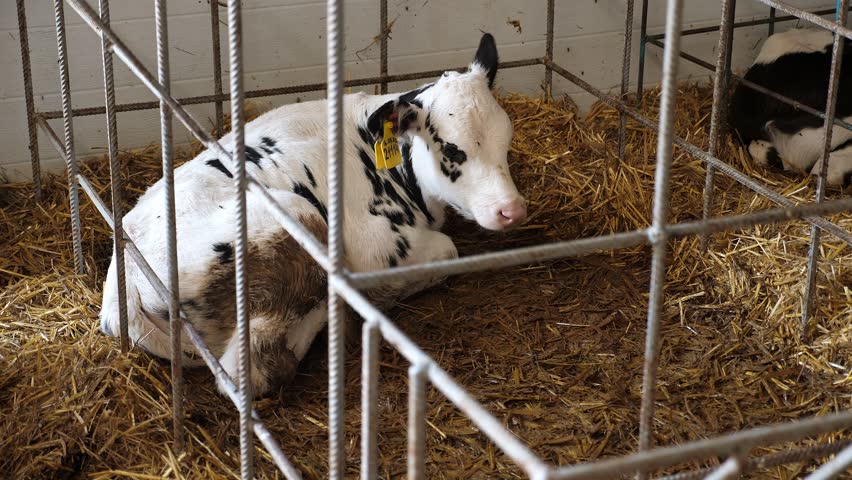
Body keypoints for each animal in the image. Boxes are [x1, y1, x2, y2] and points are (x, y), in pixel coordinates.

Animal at [99, 33, 528, 397]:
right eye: (453, 150)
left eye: (506, 140)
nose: (512, 209)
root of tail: (127, 285)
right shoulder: (377, 250)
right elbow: (447, 250)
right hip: (298, 220)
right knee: (250, 371)